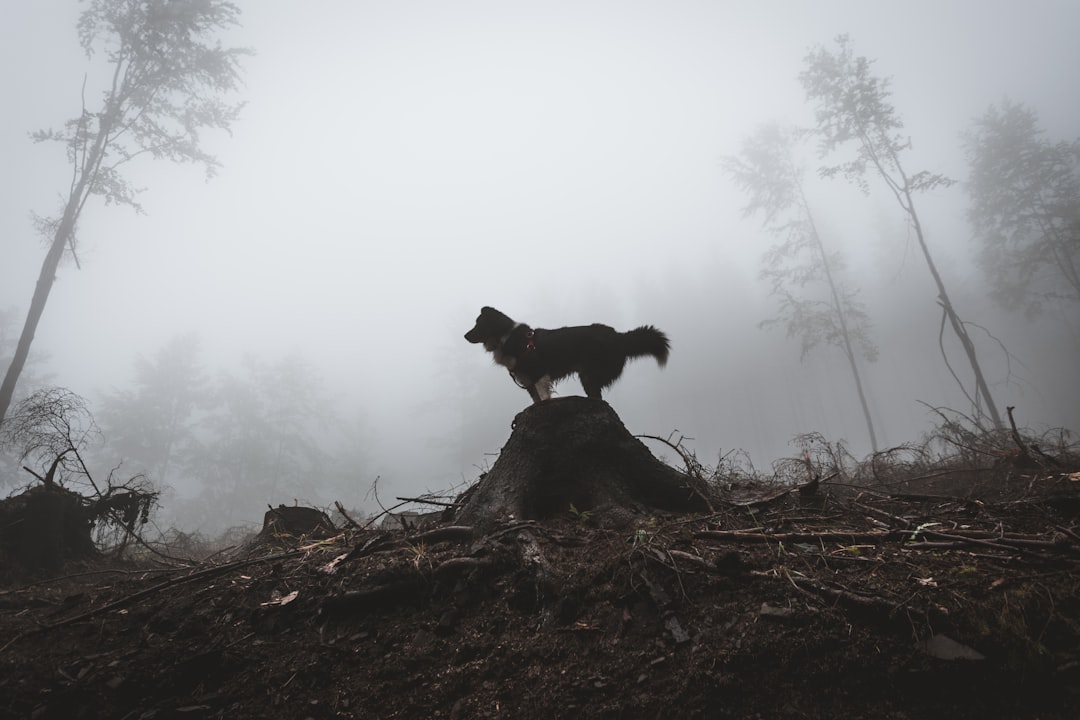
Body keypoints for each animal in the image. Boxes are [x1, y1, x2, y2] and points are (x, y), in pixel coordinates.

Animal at [462, 306, 665, 403]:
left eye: (478, 324)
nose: (464, 336)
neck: (505, 336)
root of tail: (619, 336)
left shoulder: (538, 373)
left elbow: (544, 397)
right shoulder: (527, 379)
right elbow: (536, 400)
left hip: (592, 373)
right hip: (586, 376)